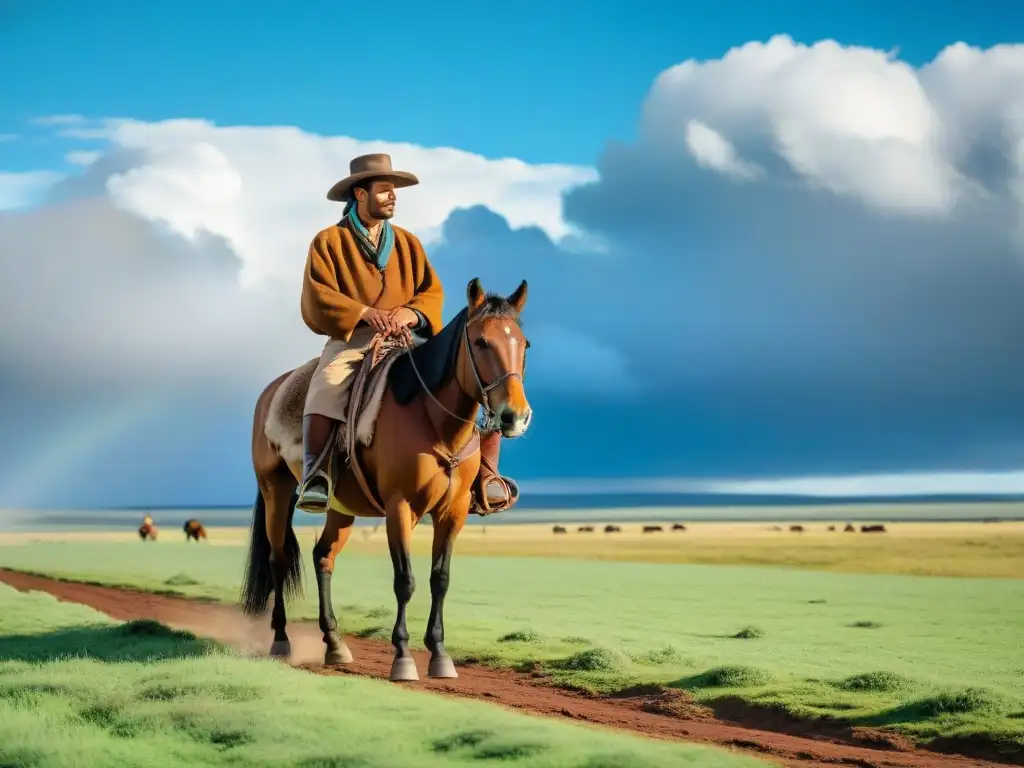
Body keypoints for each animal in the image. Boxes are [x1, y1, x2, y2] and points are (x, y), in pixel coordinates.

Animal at [239, 280, 528, 684]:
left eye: (524, 344)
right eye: (482, 342)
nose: (515, 416)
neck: (429, 417)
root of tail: (270, 392)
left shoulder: (452, 513)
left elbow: (440, 579)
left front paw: (440, 654)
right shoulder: (399, 507)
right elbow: (405, 580)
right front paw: (403, 657)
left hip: (340, 506)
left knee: (323, 556)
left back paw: (334, 643)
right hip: (275, 492)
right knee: (279, 559)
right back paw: (281, 640)